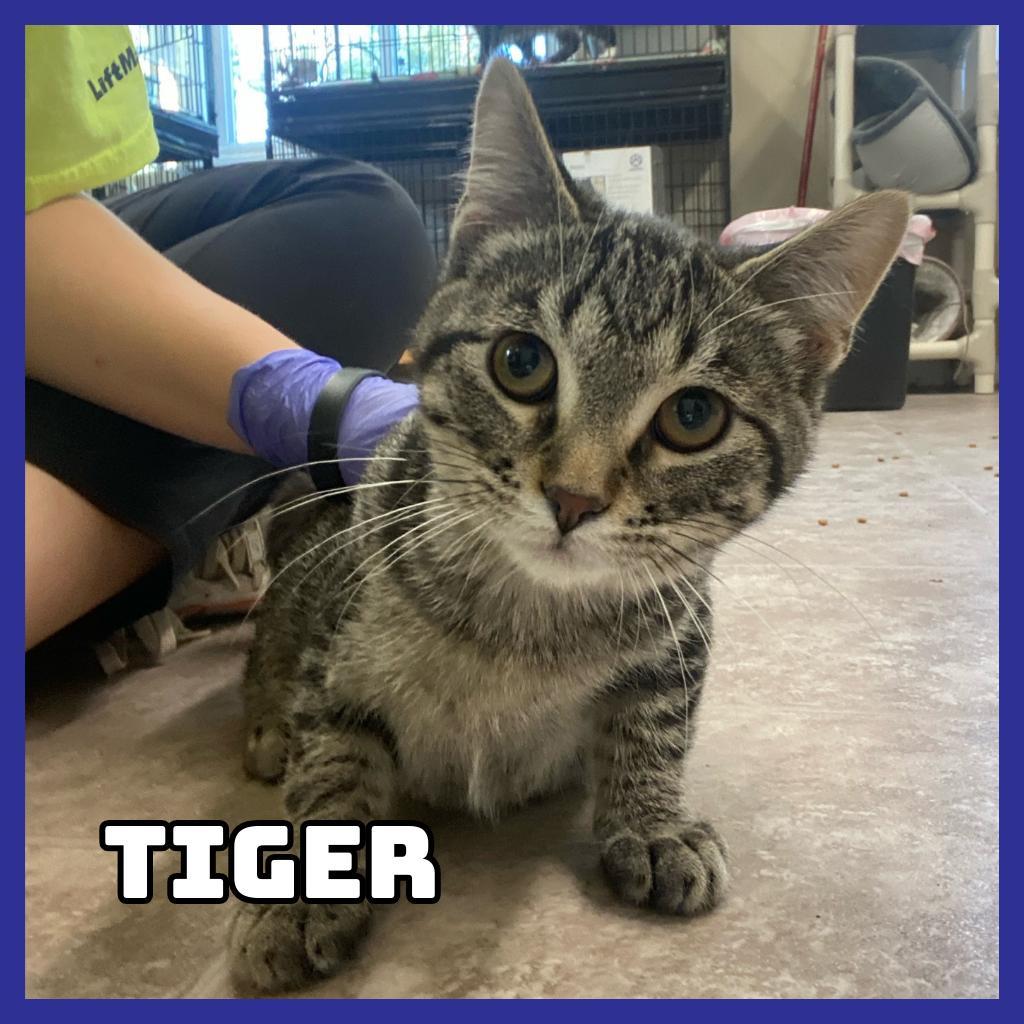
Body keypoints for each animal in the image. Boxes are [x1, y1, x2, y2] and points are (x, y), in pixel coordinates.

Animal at [228, 56, 909, 991]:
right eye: (521, 362)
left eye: (693, 416)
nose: (575, 497)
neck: (524, 623)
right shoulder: (340, 644)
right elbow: (331, 757)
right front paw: (304, 886)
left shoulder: (681, 618)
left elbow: (656, 717)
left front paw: (652, 819)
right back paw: (264, 718)